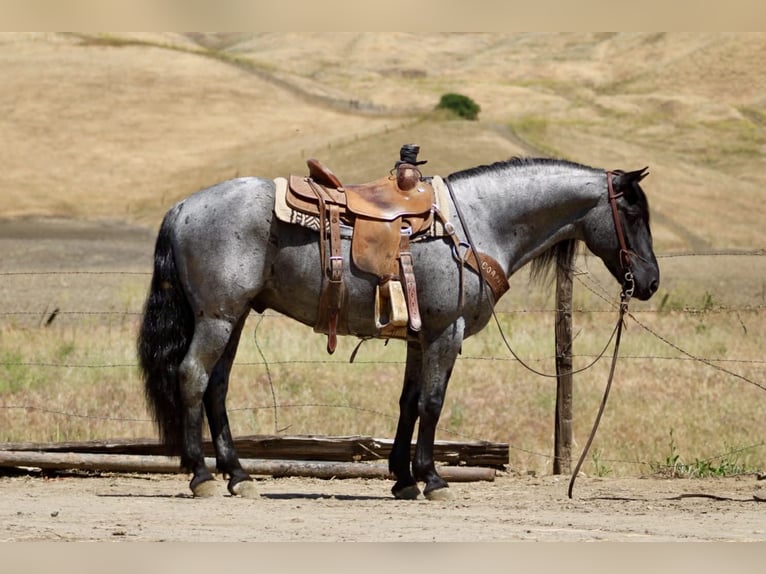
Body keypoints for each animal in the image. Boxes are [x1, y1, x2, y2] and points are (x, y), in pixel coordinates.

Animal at [137, 156, 660, 500]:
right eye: (632, 212)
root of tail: (183, 207)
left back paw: (238, 475)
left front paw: (404, 479)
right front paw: (432, 478)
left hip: (235, 316)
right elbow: (433, 403)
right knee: (192, 377)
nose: (651, 281)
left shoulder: (420, 337)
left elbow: (409, 403)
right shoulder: (446, 332)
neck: (476, 223)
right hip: (218, 317)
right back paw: (201, 475)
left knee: (216, 387)